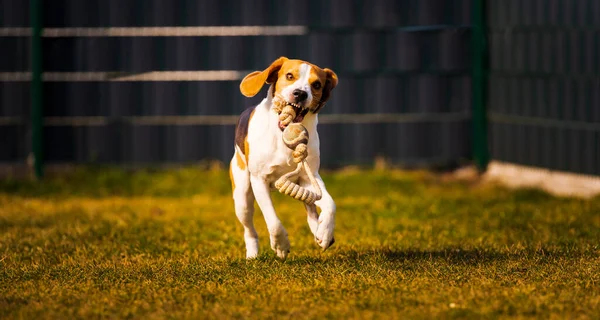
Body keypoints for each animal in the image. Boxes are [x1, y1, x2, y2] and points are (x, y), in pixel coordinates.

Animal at [231, 56, 338, 258]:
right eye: (289, 76)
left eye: (317, 85)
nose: (300, 94)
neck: (282, 134)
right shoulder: (259, 180)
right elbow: (273, 221)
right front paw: (281, 245)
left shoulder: (310, 177)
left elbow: (331, 204)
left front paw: (325, 233)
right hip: (242, 197)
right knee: (249, 229)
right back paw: (252, 254)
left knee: (311, 210)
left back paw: (317, 229)